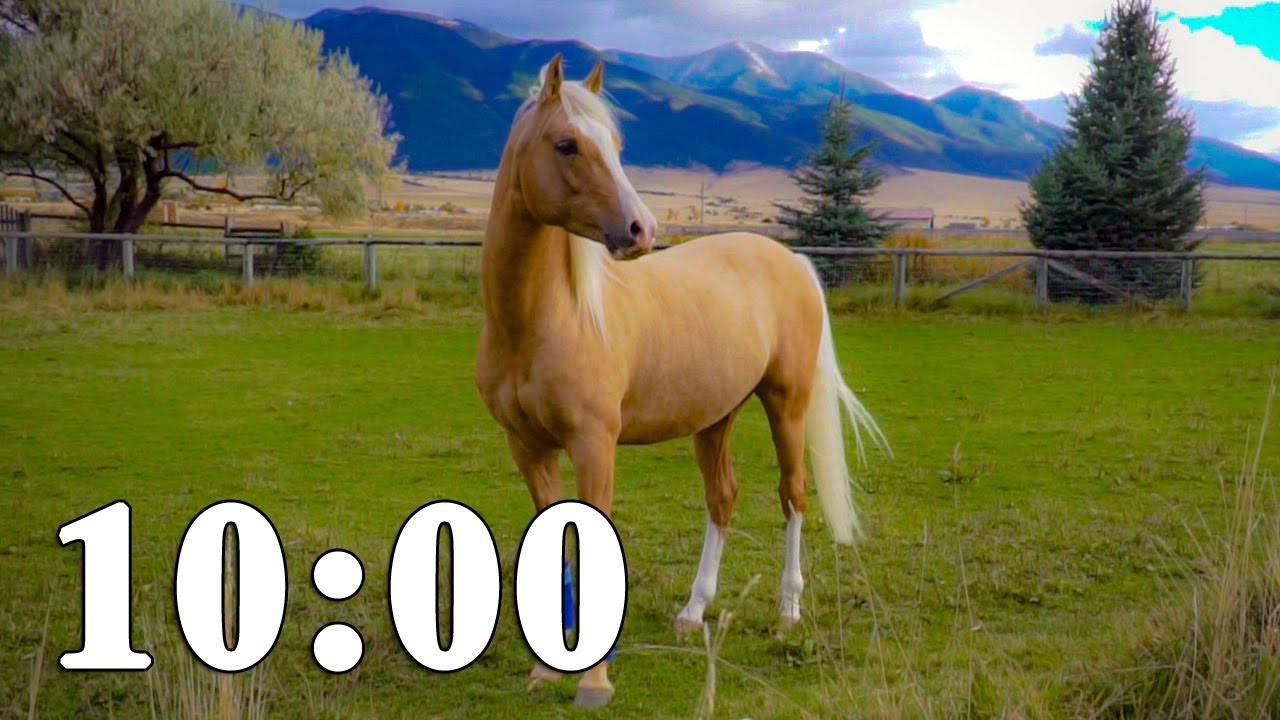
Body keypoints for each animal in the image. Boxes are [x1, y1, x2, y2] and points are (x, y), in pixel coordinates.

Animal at [475, 54, 890, 708]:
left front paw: (594, 681)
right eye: (566, 144)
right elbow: (560, 537)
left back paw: (788, 610)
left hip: (786, 403)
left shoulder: (594, 445)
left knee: (793, 494)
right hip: (715, 417)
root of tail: (792, 260)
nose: (640, 230)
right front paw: (546, 671)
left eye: (616, 145)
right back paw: (694, 612)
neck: (546, 319)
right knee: (722, 497)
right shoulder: (528, 447)